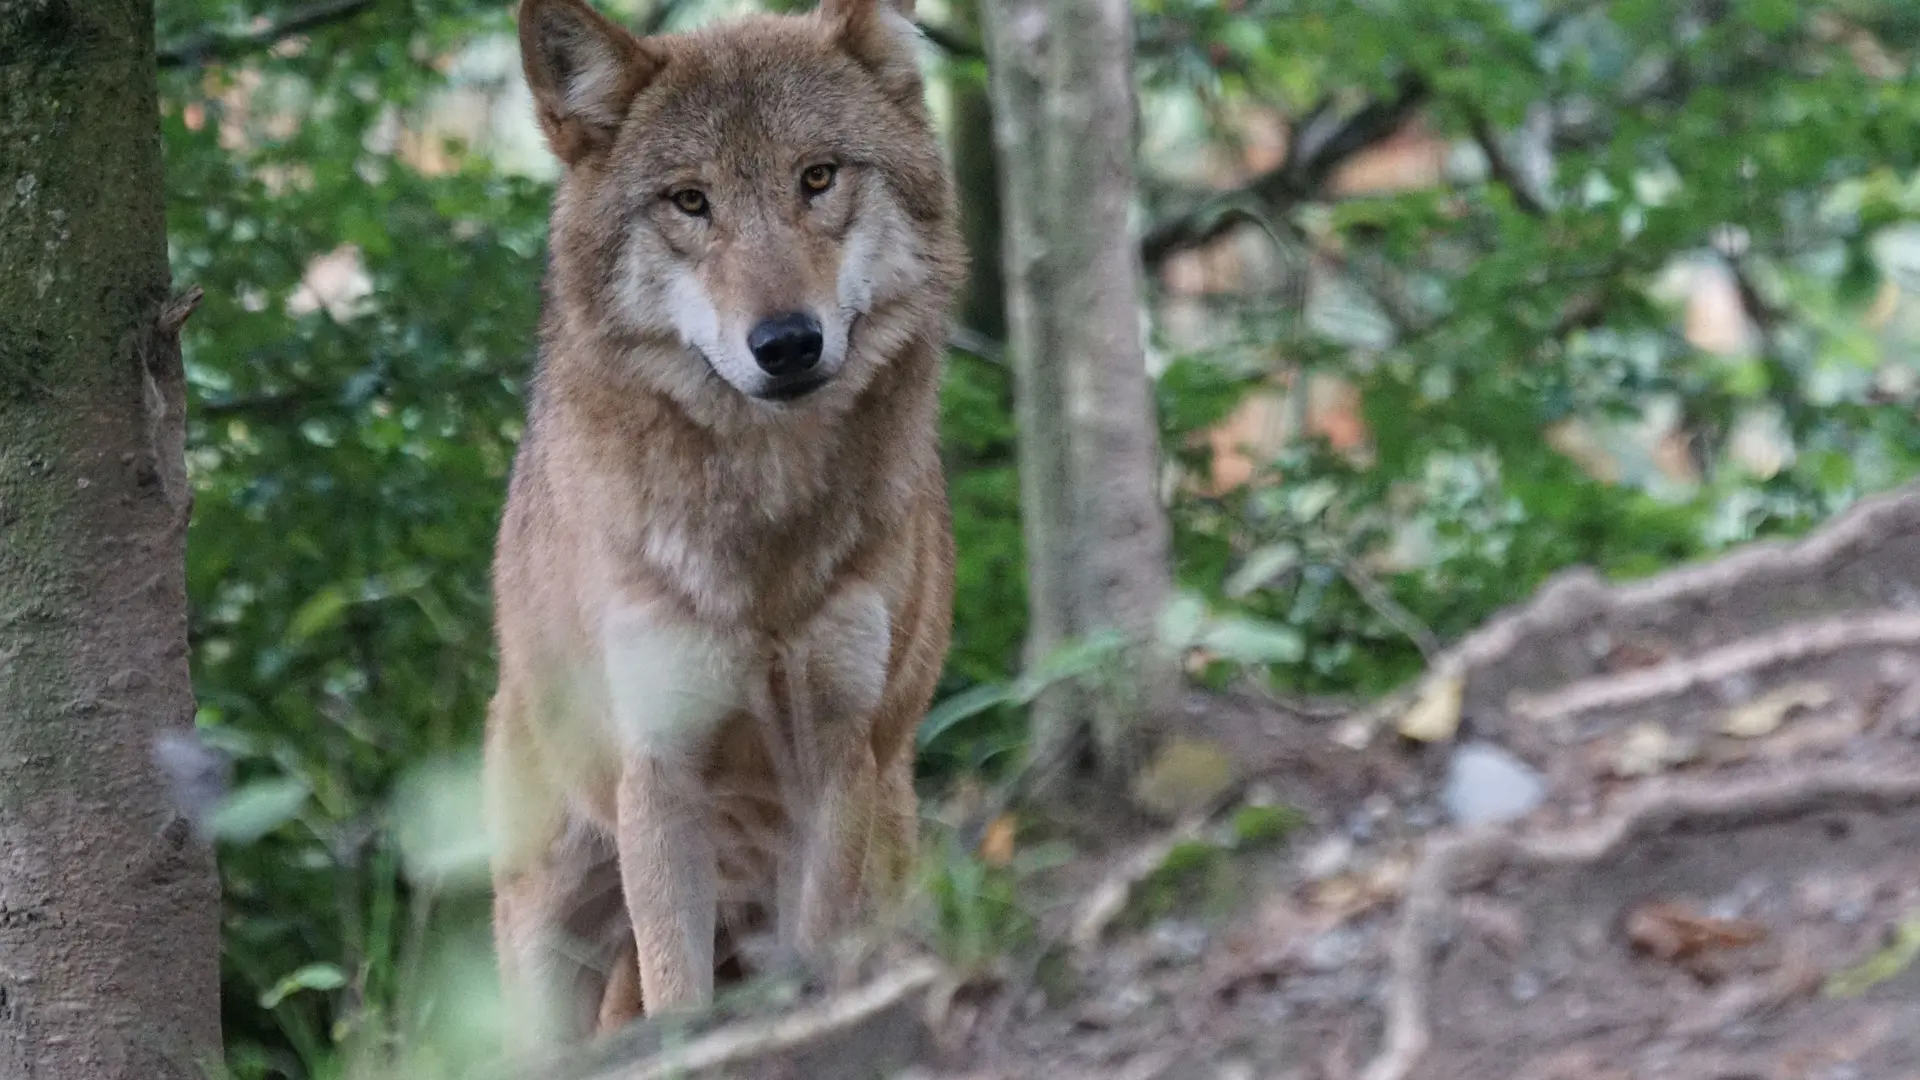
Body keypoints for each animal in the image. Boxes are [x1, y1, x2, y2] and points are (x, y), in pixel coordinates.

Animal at [480, 0, 960, 1045]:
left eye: (816, 177)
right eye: (690, 201)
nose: (786, 343)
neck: (762, 534)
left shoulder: (835, 754)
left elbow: (818, 954)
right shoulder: (661, 774)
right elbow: (677, 992)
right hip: (550, 924)